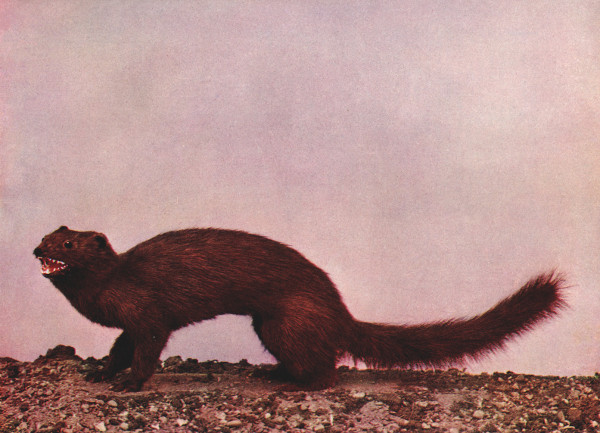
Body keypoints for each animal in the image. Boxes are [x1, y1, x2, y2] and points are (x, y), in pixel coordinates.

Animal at [33, 226, 565, 392]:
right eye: (46, 234)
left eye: (68, 243)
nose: (38, 249)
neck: (101, 294)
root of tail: (338, 307)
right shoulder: (128, 322)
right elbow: (119, 347)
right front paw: (101, 372)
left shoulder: (148, 312)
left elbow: (146, 348)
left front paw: (129, 383)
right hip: (271, 324)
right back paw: (273, 373)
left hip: (289, 319)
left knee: (327, 367)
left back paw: (296, 384)